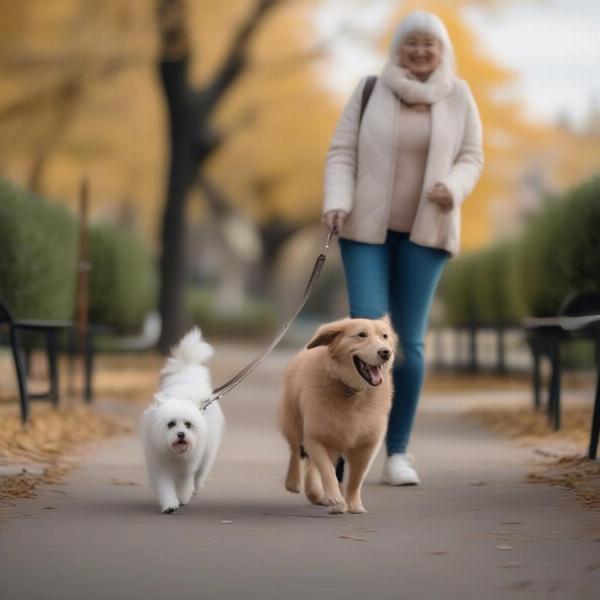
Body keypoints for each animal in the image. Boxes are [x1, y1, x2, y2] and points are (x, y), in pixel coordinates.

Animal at [143, 326, 225, 512]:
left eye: (188, 425)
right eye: (171, 424)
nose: (181, 434)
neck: (176, 456)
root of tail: (187, 377)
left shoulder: (188, 467)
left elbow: (186, 482)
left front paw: (182, 497)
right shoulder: (161, 465)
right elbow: (166, 486)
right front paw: (169, 504)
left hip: (207, 452)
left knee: (200, 474)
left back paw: (196, 488)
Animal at [278, 316, 398, 512]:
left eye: (385, 336)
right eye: (361, 334)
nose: (385, 352)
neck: (352, 391)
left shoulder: (367, 446)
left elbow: (356, 478)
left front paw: (354, 505)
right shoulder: (316, 439)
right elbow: (327, 471)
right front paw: (335, 498)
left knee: (311, 466)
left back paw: (315, 493)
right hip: (294, 422)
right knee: (295, 450)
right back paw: (294, 482)